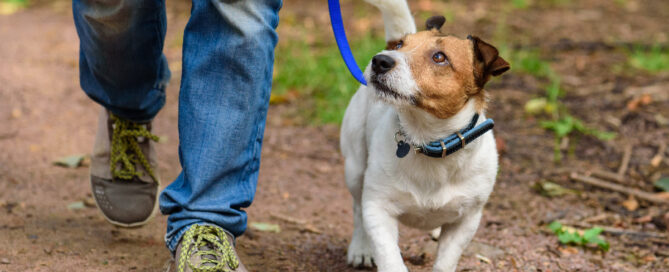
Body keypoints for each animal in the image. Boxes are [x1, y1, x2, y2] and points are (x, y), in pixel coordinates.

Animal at [342, 0, 508, 270]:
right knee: (357, 208)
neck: (428, 140)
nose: (380, 60)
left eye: (439, 57)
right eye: (400, 45)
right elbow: (389, 257)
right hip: (355, 167)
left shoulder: (467, 221)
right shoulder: (378, 208)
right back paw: (361, 248)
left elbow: (446, 261)